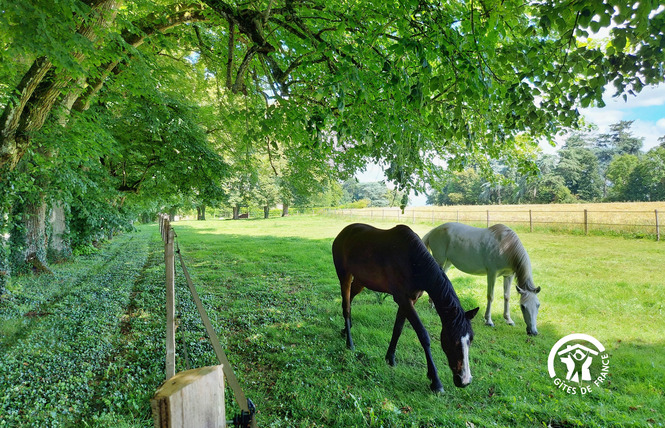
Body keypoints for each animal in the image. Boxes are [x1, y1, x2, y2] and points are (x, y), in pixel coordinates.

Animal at [332, 222, 478, 392]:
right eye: (452, 341)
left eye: (471, 340)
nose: (464, 380)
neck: (413, 261)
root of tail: (343, 232)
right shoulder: (403, 299)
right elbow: (423, 335)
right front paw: (435, 381)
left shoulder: (409, 301)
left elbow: (398, 329)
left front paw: (390, 358)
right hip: (345, 276)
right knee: (346, 307)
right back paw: (349, 343)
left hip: (361, 281)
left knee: (349, 300)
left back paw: (345, 329)